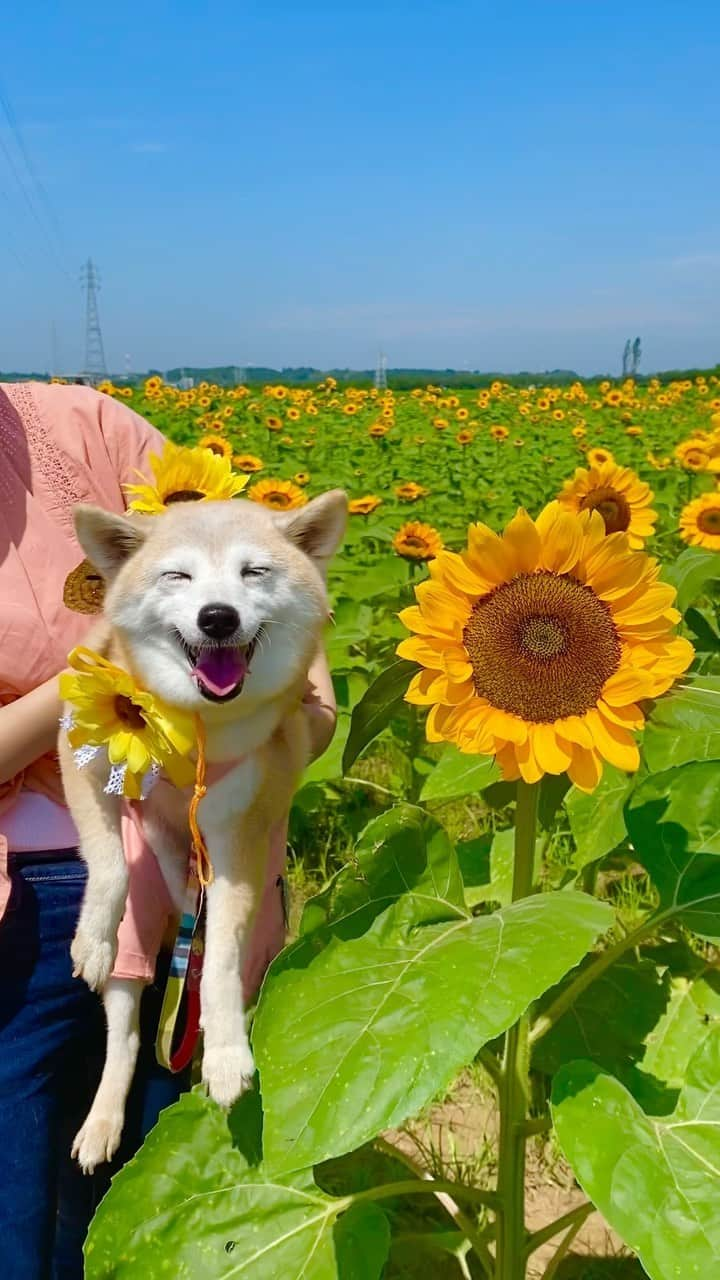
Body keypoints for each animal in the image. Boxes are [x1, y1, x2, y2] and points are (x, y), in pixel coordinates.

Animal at [58, 488, 345, 1172]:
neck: (195, 730)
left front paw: (226, 1057)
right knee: (126, 1031)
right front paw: (91, 938)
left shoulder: (238, 837)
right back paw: (103, 1120)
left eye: (253, 572)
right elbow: (108, 861)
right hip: (139, 941)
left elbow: (217, 965)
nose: (217, 617)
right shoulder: (78, 755)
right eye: (177, 576)